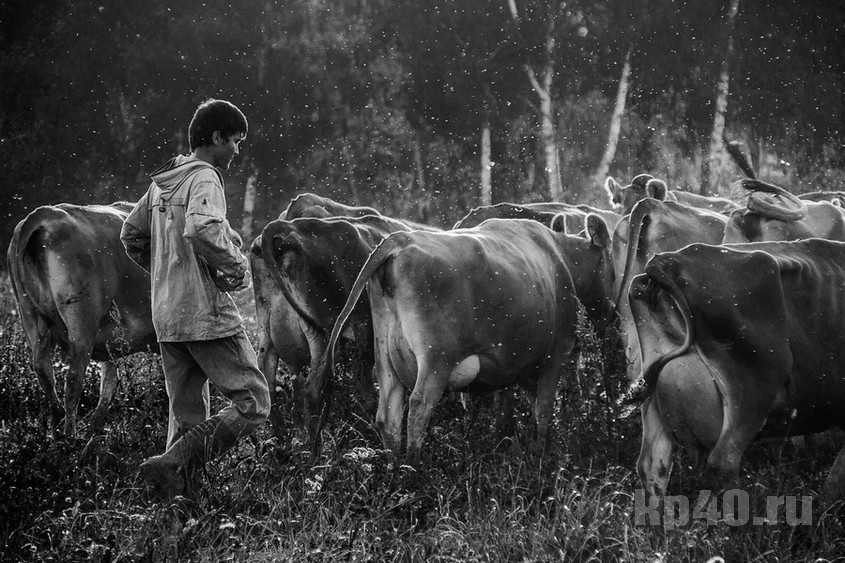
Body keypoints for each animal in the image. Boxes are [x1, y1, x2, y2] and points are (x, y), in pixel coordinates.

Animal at [7, 203, 156, 438]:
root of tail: (48, 212)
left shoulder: (110, 345)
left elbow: (108, 386)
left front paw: (95, 431)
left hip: (31, 319)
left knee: (44, 371)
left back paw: (58, 427)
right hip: (81, 327)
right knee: (73, 380)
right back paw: (70, 435)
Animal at [312, 216, 615, 463]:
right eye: (612, 270)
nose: (613, 314)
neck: (561, 260)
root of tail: (402, 239)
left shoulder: (521, 367)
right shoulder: (553, 357)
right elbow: (543, 412)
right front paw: (542, 459)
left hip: (385, 358)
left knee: (388, 416)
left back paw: (395, 469)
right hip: (436, 359)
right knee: (419, 408)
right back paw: (414, 469)